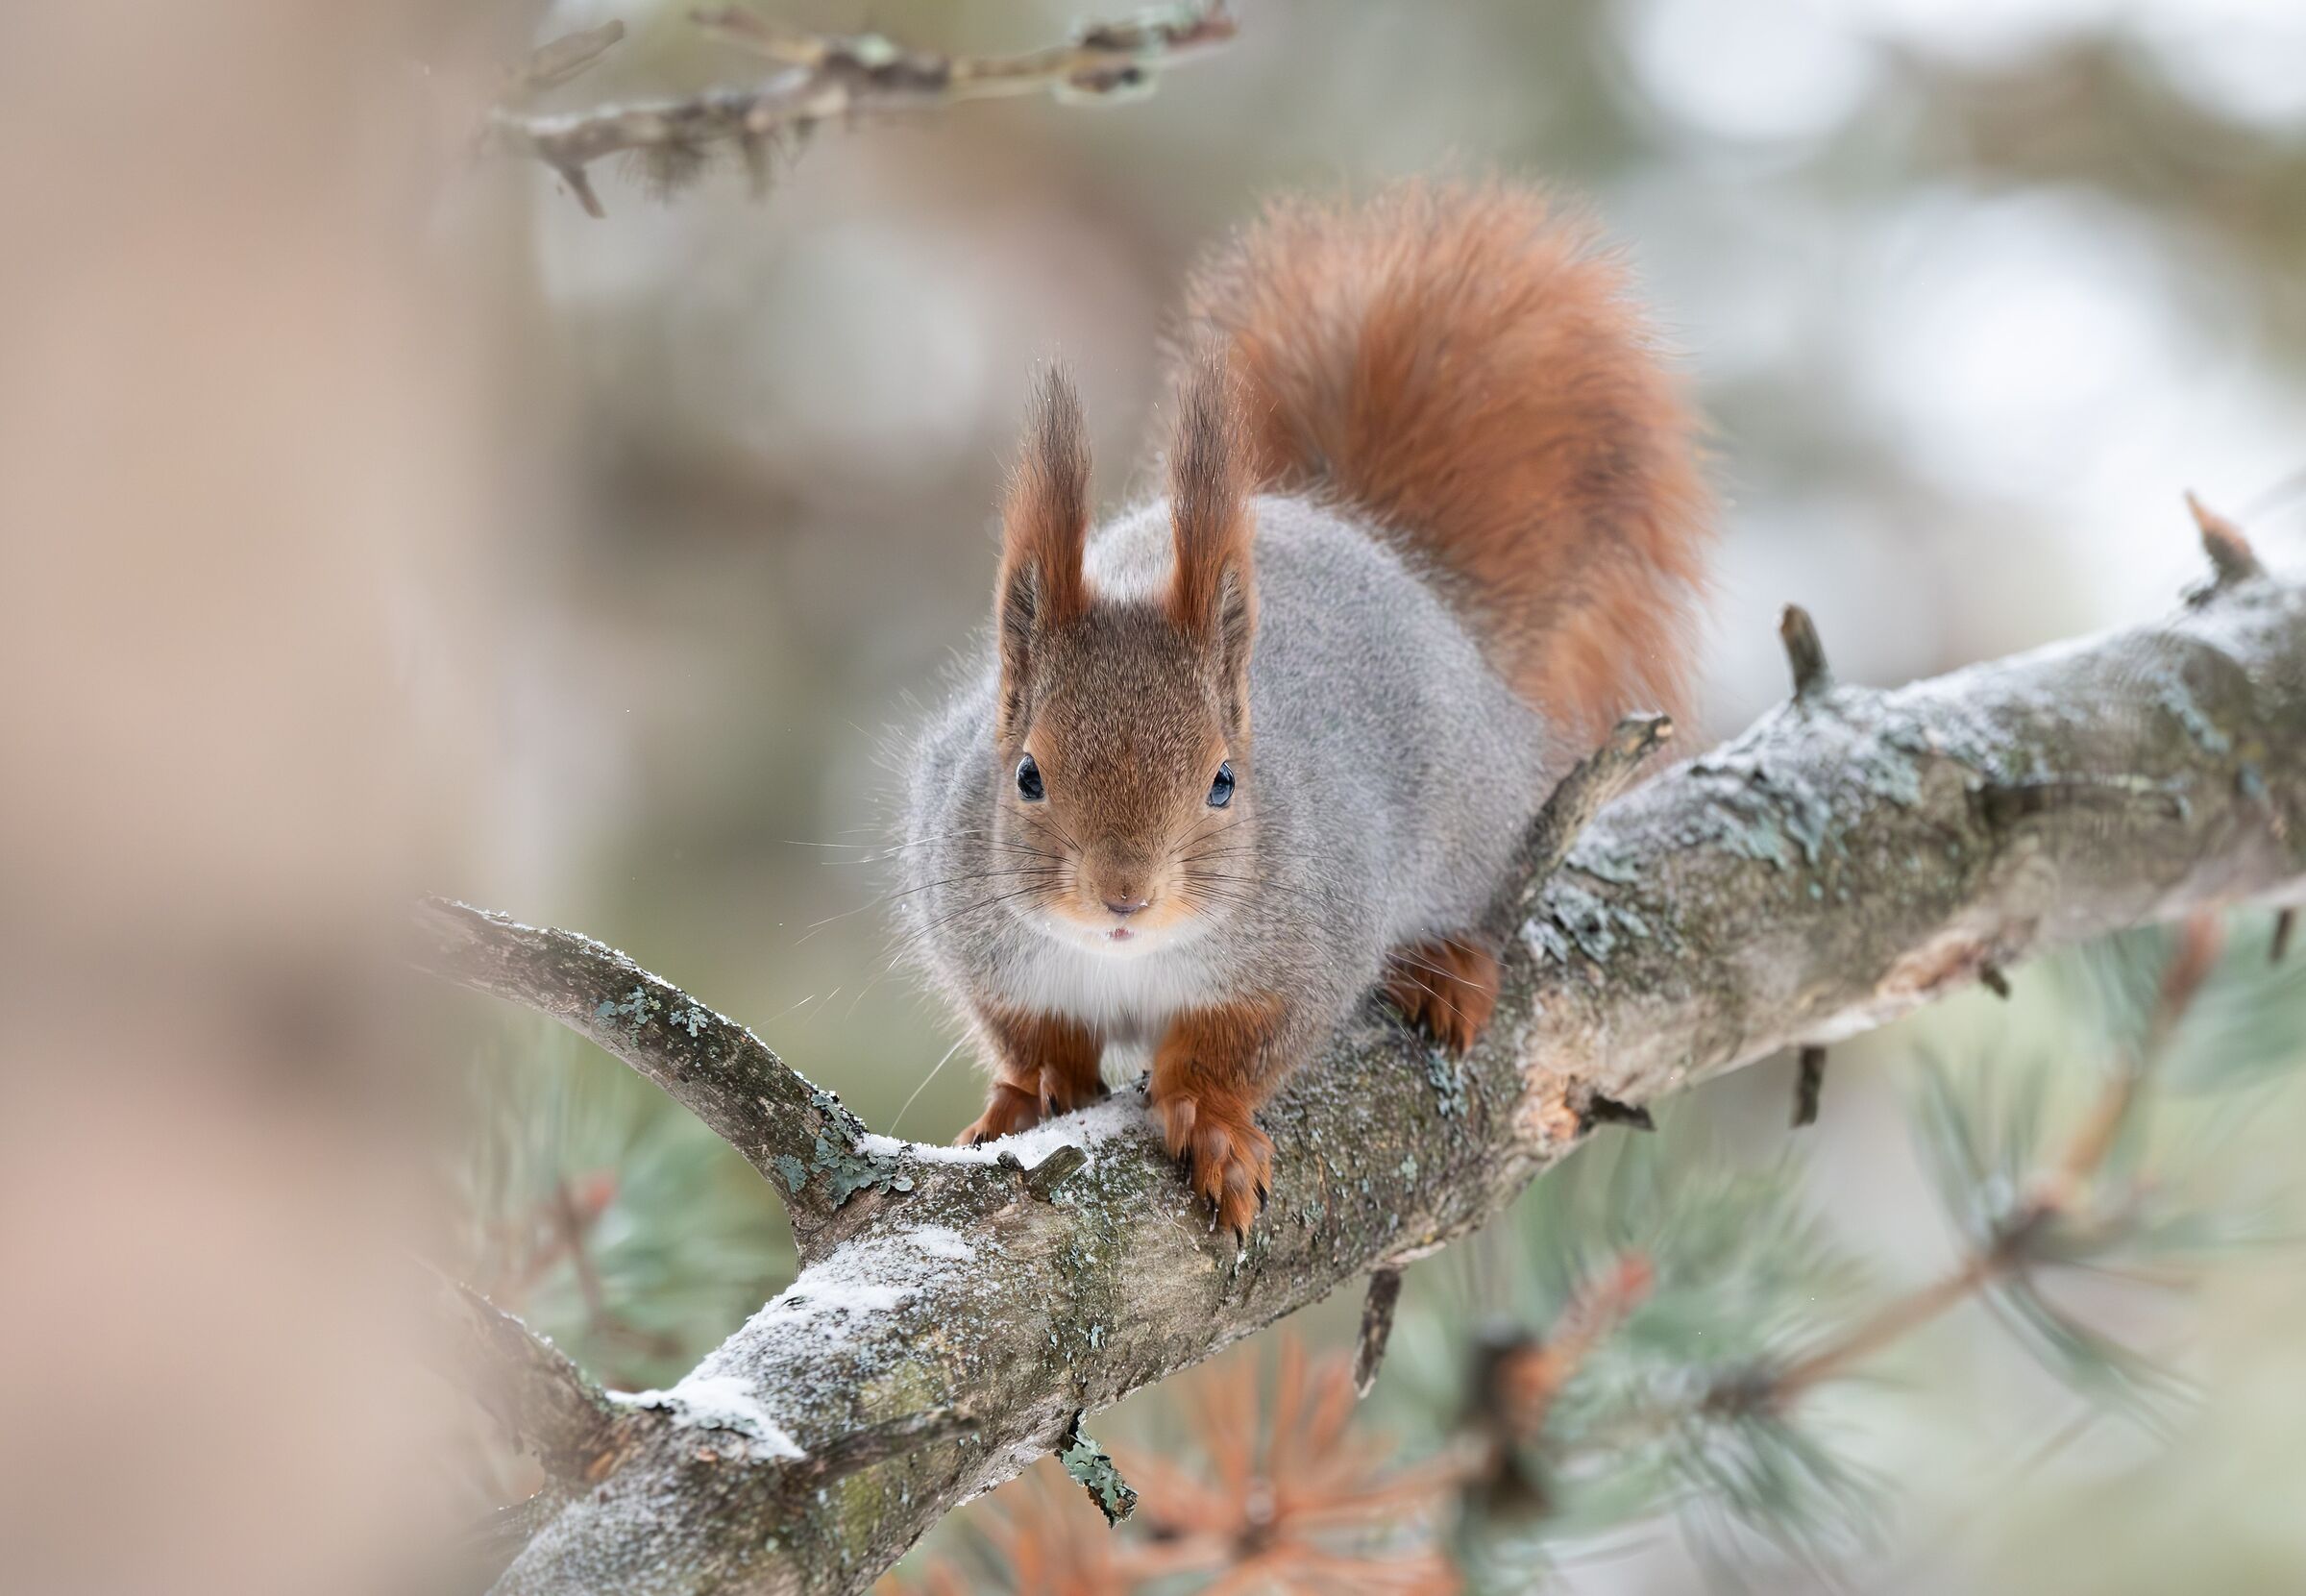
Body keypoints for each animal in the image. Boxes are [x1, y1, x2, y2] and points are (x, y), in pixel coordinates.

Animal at [898, 180, 1712, 1237]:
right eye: (1027, 774)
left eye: (1223, 782)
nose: (1124, 895)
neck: (1125, 963)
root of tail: (1373, 543)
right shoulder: (979, 934)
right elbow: (1032, 1036)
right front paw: (1026, 1096)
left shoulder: (1311, 937)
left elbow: (1240, 1046)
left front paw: (1212, 1123)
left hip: (1470, 821)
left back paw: (1448, 971)